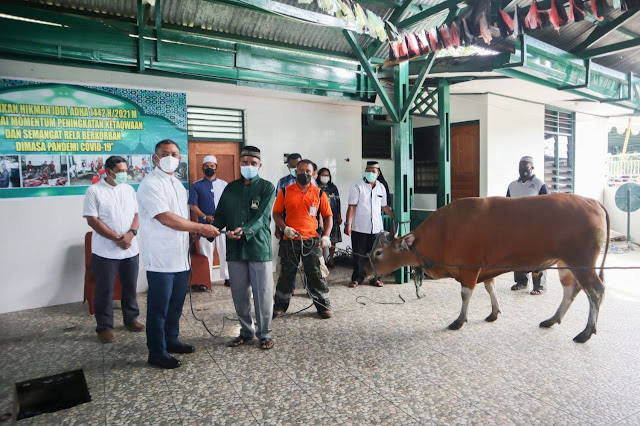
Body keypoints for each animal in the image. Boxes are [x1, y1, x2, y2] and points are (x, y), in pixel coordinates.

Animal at [364, 193, 608, 342]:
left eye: (378, 252)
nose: (365, 271)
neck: (445, 231)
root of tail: (593, 202)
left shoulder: (469, 268)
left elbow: (466, 294)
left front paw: (459, 321)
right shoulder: (485, 269)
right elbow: (490, 288)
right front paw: (493, 313)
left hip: (582, 262)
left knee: (595, 291)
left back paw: (586, 332)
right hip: (565, 263)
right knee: (571, 290)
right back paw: (552, 319)